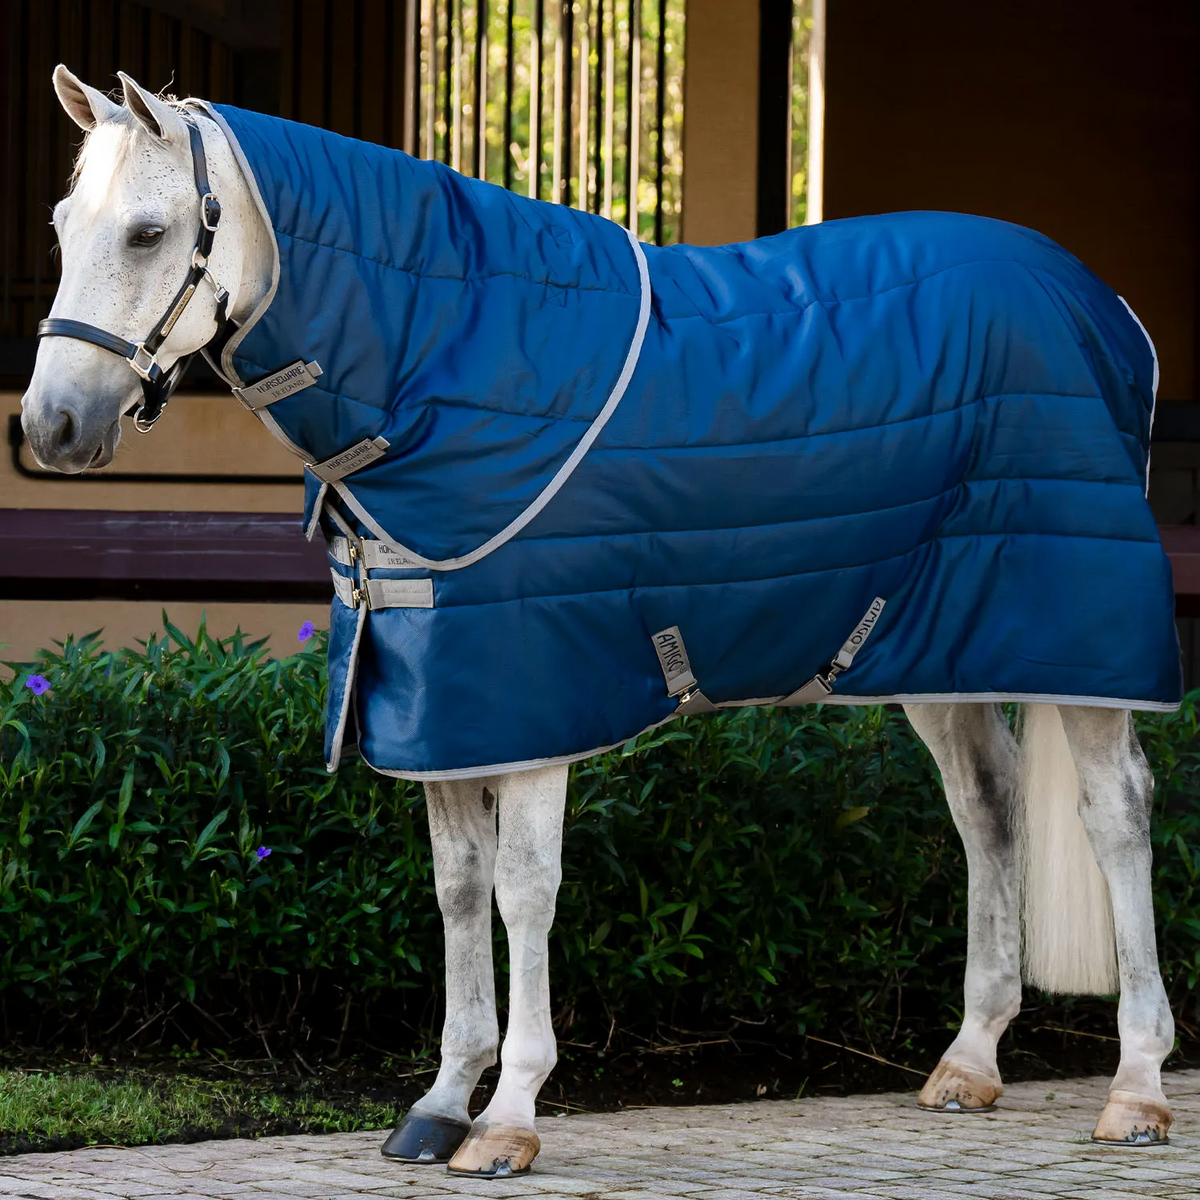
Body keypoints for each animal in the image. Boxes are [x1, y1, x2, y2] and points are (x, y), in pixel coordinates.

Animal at [22, 66, 1180, 1176]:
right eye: (64, 225)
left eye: (148, 232)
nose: (51, 426)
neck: (440, 359)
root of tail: (1109, 307)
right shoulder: (442, 704)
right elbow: (457, 890)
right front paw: (441, 1103)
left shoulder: (531, 702)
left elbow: (524, 892)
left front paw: (509, 1119)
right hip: (934, 645)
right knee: (987, 809)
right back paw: (969, 1062)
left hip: (1079, 642)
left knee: (1116, 816)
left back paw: (1136, 1091)